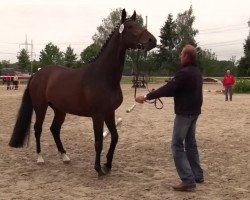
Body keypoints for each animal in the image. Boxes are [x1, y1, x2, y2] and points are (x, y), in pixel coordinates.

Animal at [9, 8, 156, 176]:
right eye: (130, 27)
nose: (152, 41)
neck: (103, 76)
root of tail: (37, 73)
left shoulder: (109, 112)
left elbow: (115, 137)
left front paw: (108, 165)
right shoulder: (97, 115)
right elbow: (98, 142)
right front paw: (98, 169)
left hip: (60, 110)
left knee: (54, 129)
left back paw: (64, 156)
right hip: (40, 107)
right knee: (37, 129)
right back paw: (40, 158)